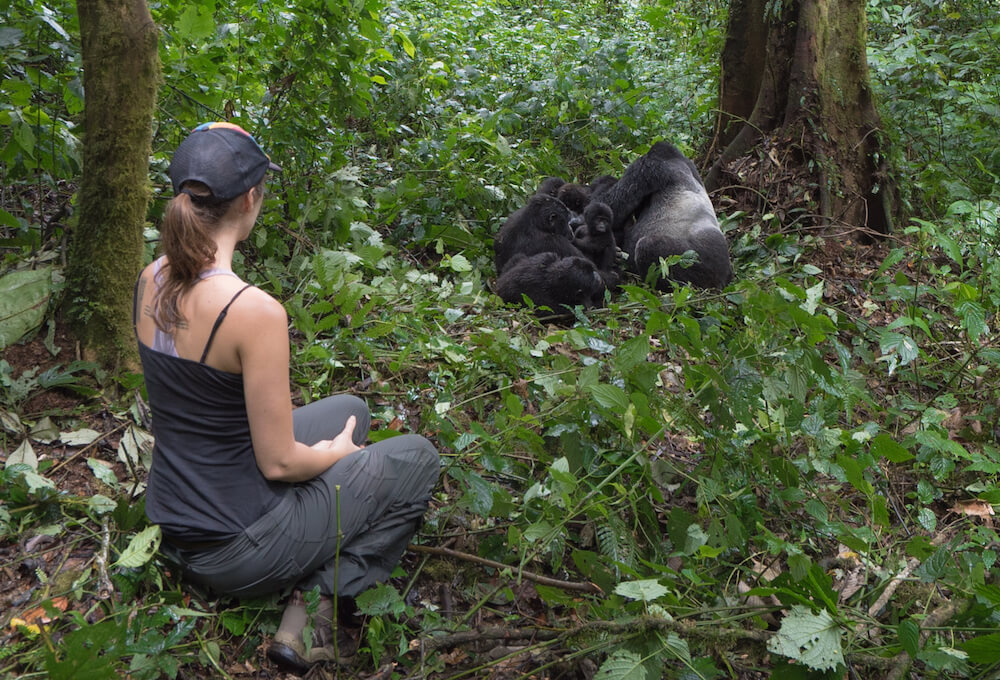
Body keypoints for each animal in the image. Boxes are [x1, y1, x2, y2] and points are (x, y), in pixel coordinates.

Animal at [592, 142, 736, 290]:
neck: (674, 157)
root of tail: (725, 277)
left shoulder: (647, 167)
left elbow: (610, 207)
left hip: (698, 260)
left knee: (647, 247)